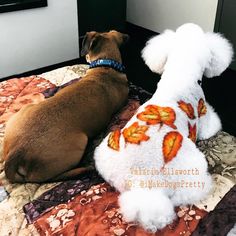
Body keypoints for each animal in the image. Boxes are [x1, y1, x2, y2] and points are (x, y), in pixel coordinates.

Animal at [2, 30, 129, 183]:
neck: (105, 66)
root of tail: (16, 153)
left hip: (24, 110)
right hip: (79, 142)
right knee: (53, 178)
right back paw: (83, 169)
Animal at [93, 23, 233, 231]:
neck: (182, 71)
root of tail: (142, 184)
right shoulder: (204, 114)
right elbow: (210, 126)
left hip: (107, 148)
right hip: (192, 169)